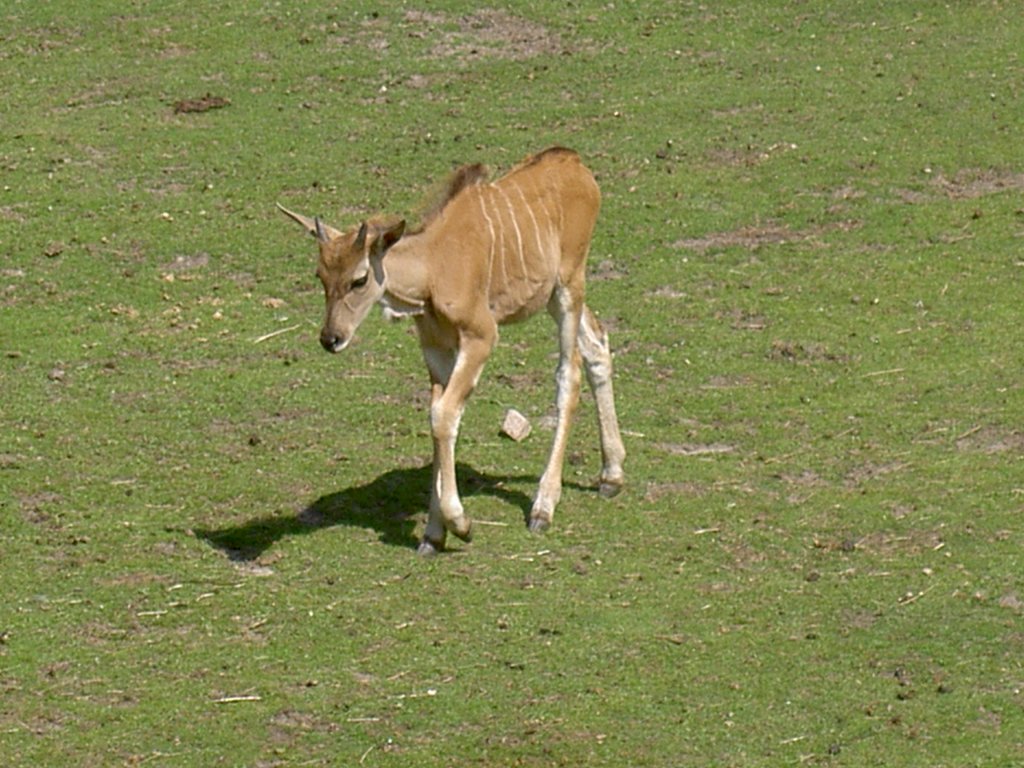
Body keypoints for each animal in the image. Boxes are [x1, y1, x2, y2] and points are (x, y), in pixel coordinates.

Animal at [284, 147, 626, 557]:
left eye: (360, 279)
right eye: (320, 276)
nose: (331, 338)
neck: (432, 269)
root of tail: (574, 162)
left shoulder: (481, 336)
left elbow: (445, 415)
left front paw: (460, 524)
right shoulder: (436, 349)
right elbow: (437, 417)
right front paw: (433, 533)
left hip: (568, 286)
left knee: (568, 375)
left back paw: (543, 507)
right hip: (551, 297)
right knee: (597, 346)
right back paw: (612, 475)